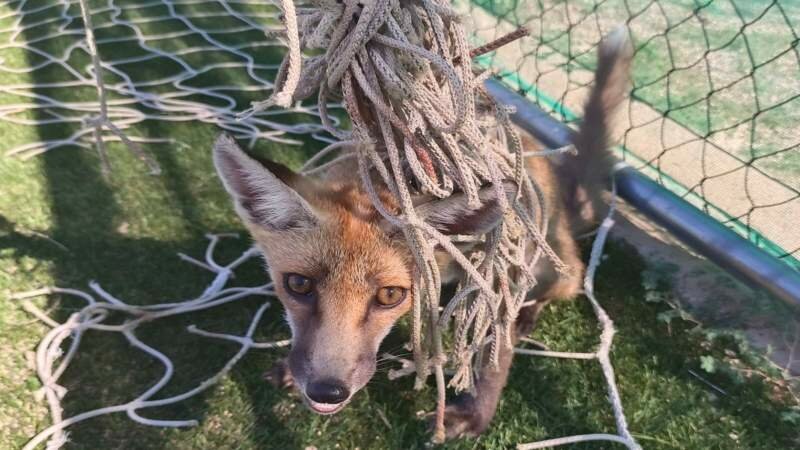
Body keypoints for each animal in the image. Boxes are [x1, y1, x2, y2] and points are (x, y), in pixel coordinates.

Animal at [212, 30, 632, 438]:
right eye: (298, 285)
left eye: (389, 295)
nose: (326, 391)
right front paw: (288, 367)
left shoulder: (495, 277)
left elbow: (495, 357)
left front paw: (474, 414)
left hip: (550, 268)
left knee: (560, 287)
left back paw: (527, 314)